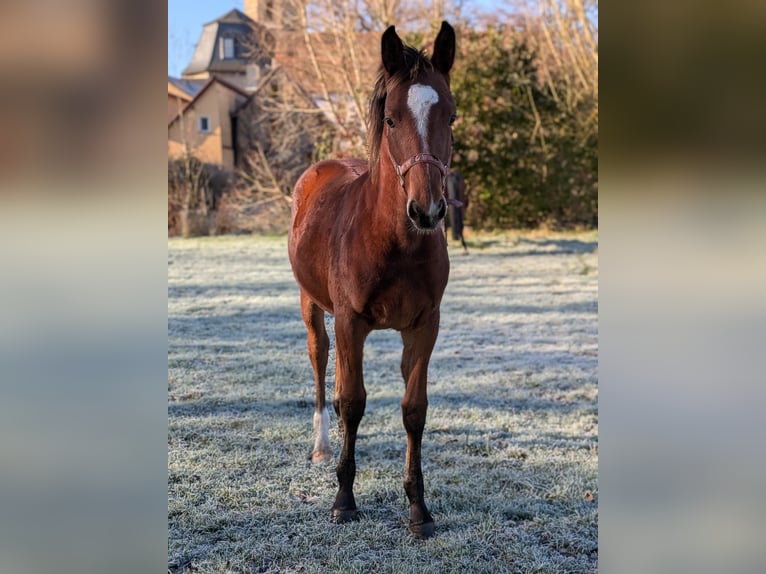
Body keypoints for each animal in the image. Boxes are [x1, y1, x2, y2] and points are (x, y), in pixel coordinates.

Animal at [288, 22, 457, 539]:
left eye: (452, 116)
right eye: (392, 120)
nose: (427, 211)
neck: (394, 243)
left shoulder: (424, 326)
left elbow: (413, 409)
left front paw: (418, 507)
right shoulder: (350, 321)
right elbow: (353, 401)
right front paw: (344, 500)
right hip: (313, 307)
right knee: (323, 366)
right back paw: (323, 446)